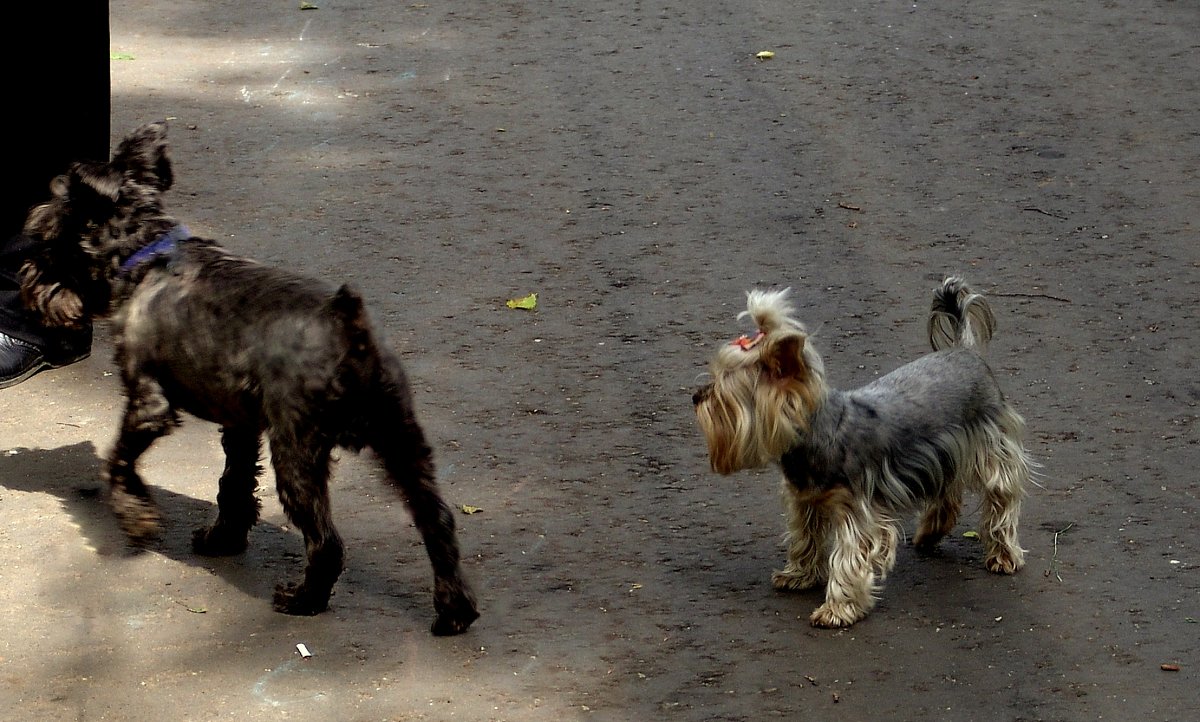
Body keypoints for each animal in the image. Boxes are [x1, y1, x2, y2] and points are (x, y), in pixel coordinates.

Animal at [18, 121, 477, 633]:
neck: (149, 254)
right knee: (436, 521)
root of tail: (348, 330)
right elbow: (233, 482)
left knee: (327, 543)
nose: (25, 282)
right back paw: (454, 612)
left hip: (298, 455)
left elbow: (120, 462)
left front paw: (137, 520)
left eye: (45, 237)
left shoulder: (148, 406)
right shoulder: (240, 424)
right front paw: (224, 538)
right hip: (400, 442)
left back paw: (303, 599)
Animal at [696, 278, 1032, 628]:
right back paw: (930, 533)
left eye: (723, 396)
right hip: (945, 452)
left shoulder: (856, 510)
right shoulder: (805, 499)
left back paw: (1003, 555)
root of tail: (965, 350)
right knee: (948, 489)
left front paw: (836, 609)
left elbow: (848, 557)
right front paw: (799, 574)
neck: (816, 434)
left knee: (1001, 498)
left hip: (990, 446)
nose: (696, 396)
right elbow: (805, 536)